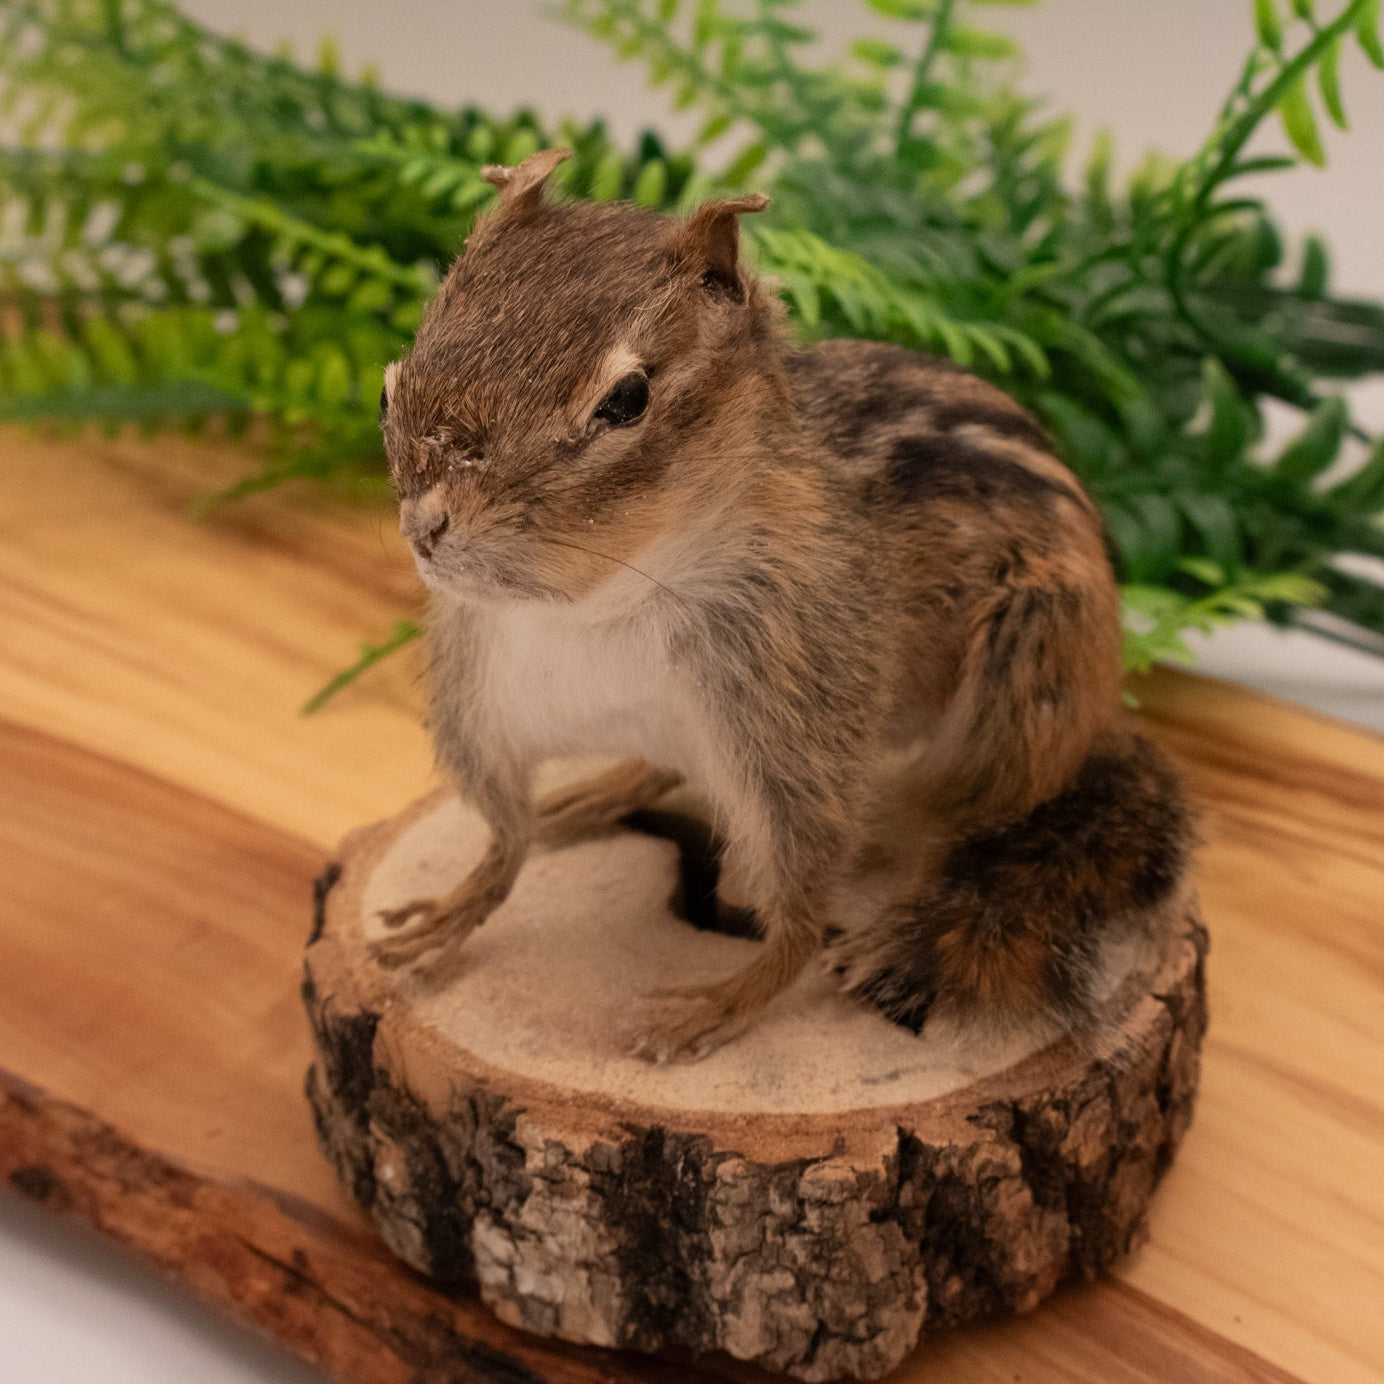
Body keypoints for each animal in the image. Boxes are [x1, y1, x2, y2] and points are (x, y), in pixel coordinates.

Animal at [373, 146, 1194, 1063]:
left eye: (627, 399)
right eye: (393, 382)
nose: (427, 522)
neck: (604, 602)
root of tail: (1094, 721)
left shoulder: (798, 715)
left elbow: (799, 921)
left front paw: (716, 1006)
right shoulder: (483, 702)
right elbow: (505, 839)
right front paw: (455, 908)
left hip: (1015, 703)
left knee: (956, 828)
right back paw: (588, 796)